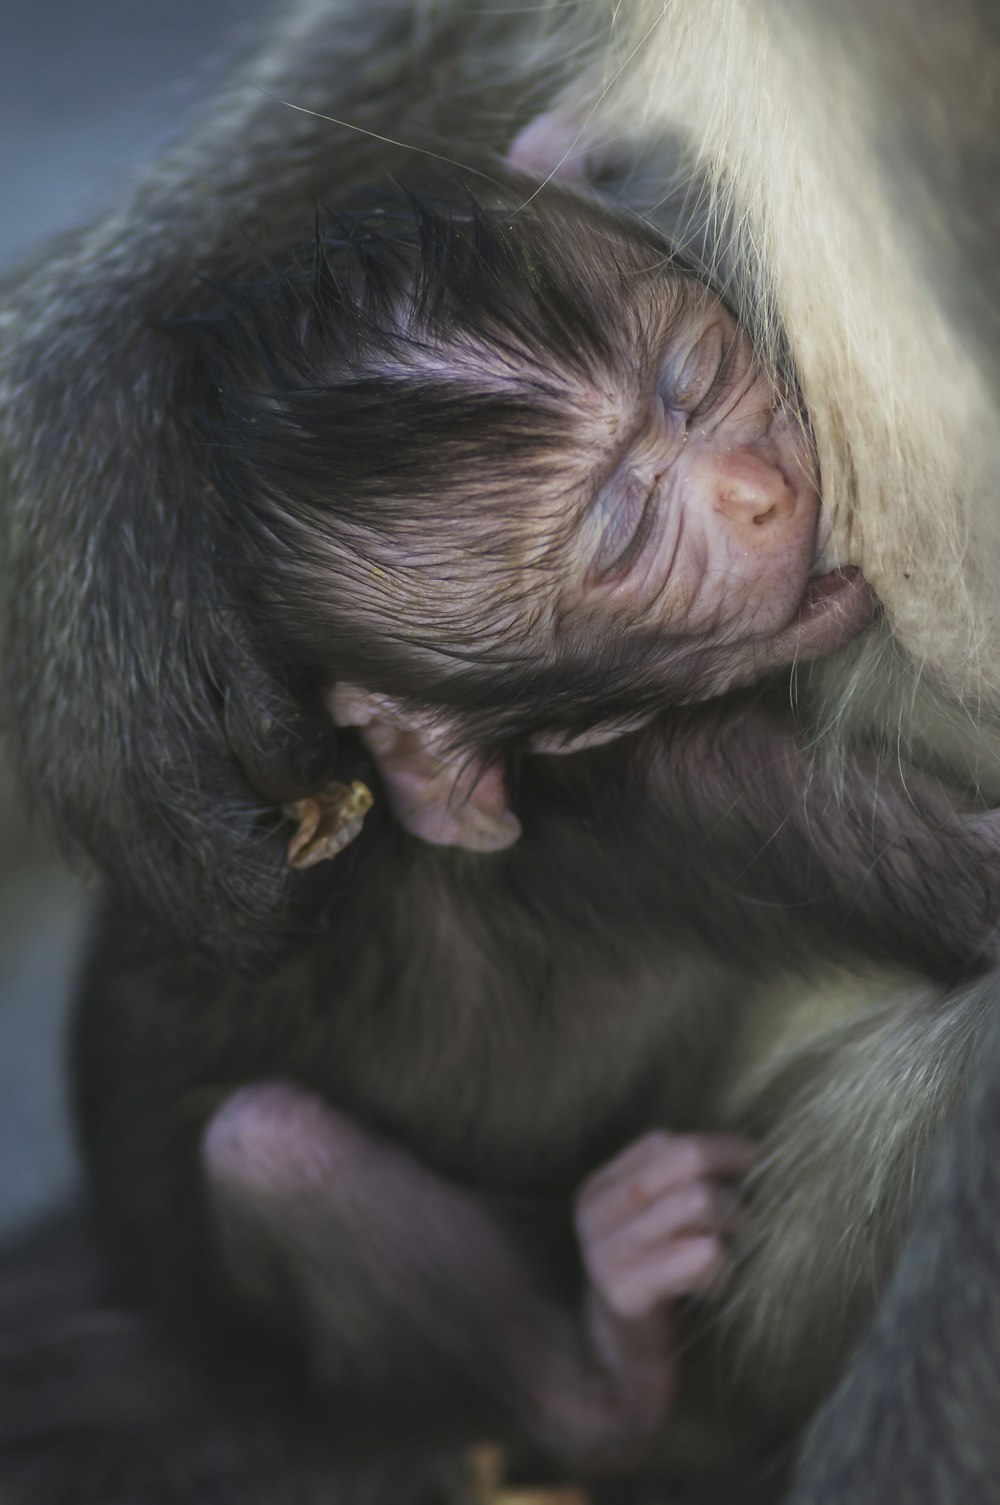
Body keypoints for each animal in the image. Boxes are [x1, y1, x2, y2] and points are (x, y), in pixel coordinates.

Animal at [0, 8, 993, 1505]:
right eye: (626, 535)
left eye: (691, 378)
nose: (759, 489)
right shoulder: (701, 787)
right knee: (275, 1156)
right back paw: (603, 1366)